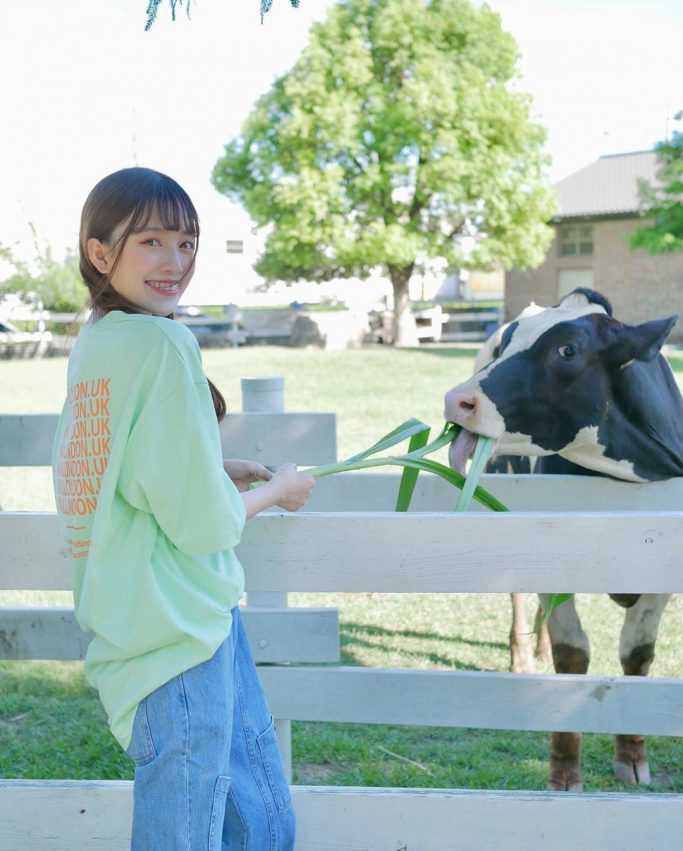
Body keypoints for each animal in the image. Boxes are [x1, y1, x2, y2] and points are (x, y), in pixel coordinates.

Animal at [444, 290, 683, 796]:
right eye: (504, 347)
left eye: (568, 350)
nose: (457, 400)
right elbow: (573, 653)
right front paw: (564, 772)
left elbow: (637, 652)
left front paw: (632, 755)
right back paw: (523, 655)